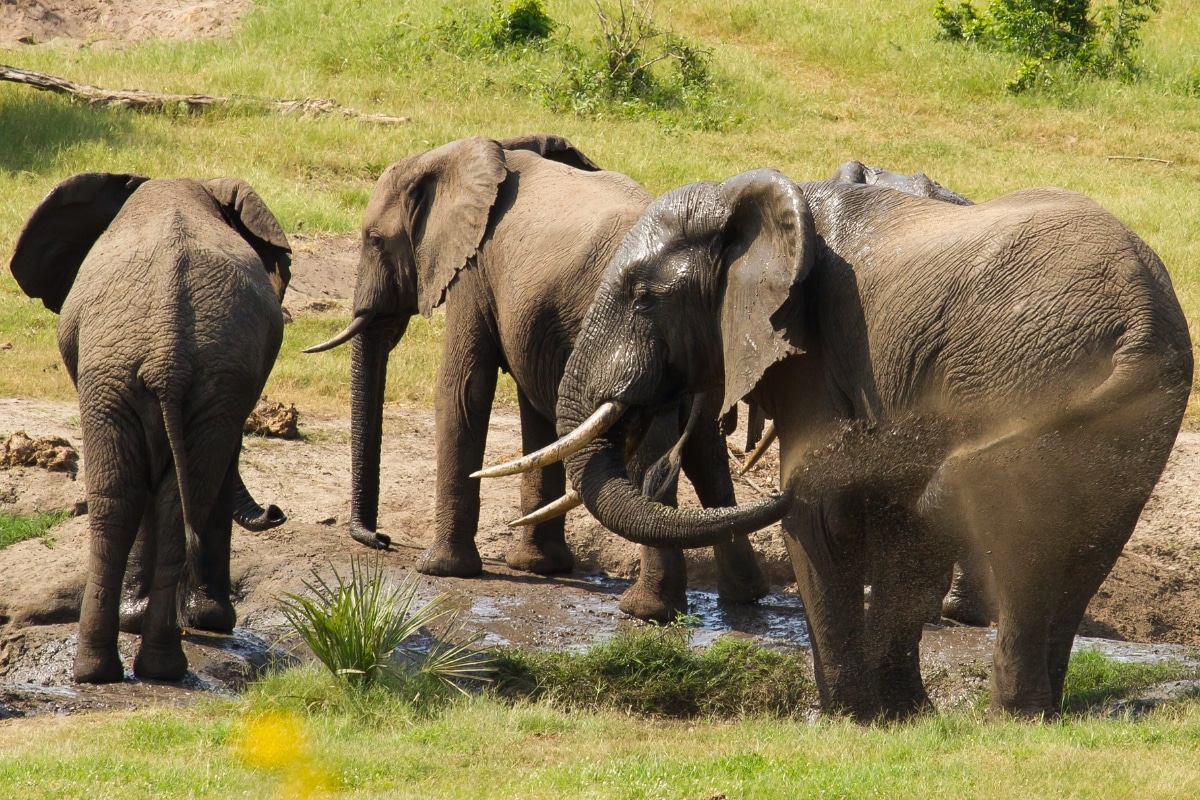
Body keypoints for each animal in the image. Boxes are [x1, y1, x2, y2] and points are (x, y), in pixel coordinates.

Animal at [9, 172, 292, 683]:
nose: (277, 512)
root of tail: (167, 356)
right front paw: (205, 620)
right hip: (138, 377)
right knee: (152, 499)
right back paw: (128, 665)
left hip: (138, 378)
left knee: (139, 498)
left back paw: (129, 667)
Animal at [306, 134, 768, 621]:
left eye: (374, 240)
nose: (382, 539)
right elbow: (535, 408)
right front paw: (538, 567)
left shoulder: (475, 270)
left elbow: (462, 388)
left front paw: (440, 570)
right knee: (705, 452)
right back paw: (745, 598)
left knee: (652, 453)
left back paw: (646, 611)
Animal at [489, 168, 1193, 718]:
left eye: (642, 298)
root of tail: (1141, 318)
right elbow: (902, 533)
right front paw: (904, 716)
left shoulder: (817, 356)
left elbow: (819, 516)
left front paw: (846, 717)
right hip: (1129, 413)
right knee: (1086, 540)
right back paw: (1039, 713)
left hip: (1025, 373)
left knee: (1020, 532)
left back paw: (1011, 716)